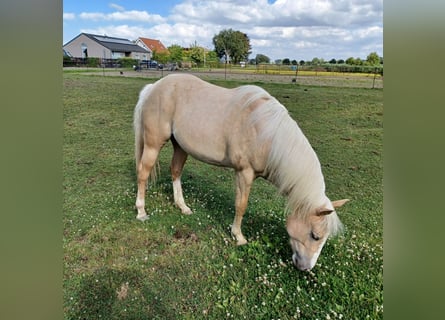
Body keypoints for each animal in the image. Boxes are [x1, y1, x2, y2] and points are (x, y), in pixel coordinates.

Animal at [134, 74, 348, 270]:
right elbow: (241, 205)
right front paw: (239, 236)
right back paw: (141, 212)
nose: (305, 268)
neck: (266, 134)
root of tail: (154, 87)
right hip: (153, 144)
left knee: (176, 171)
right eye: (315, 235)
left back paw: (183, 207)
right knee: (143, 173)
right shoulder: (244, 173)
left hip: (180, 146)